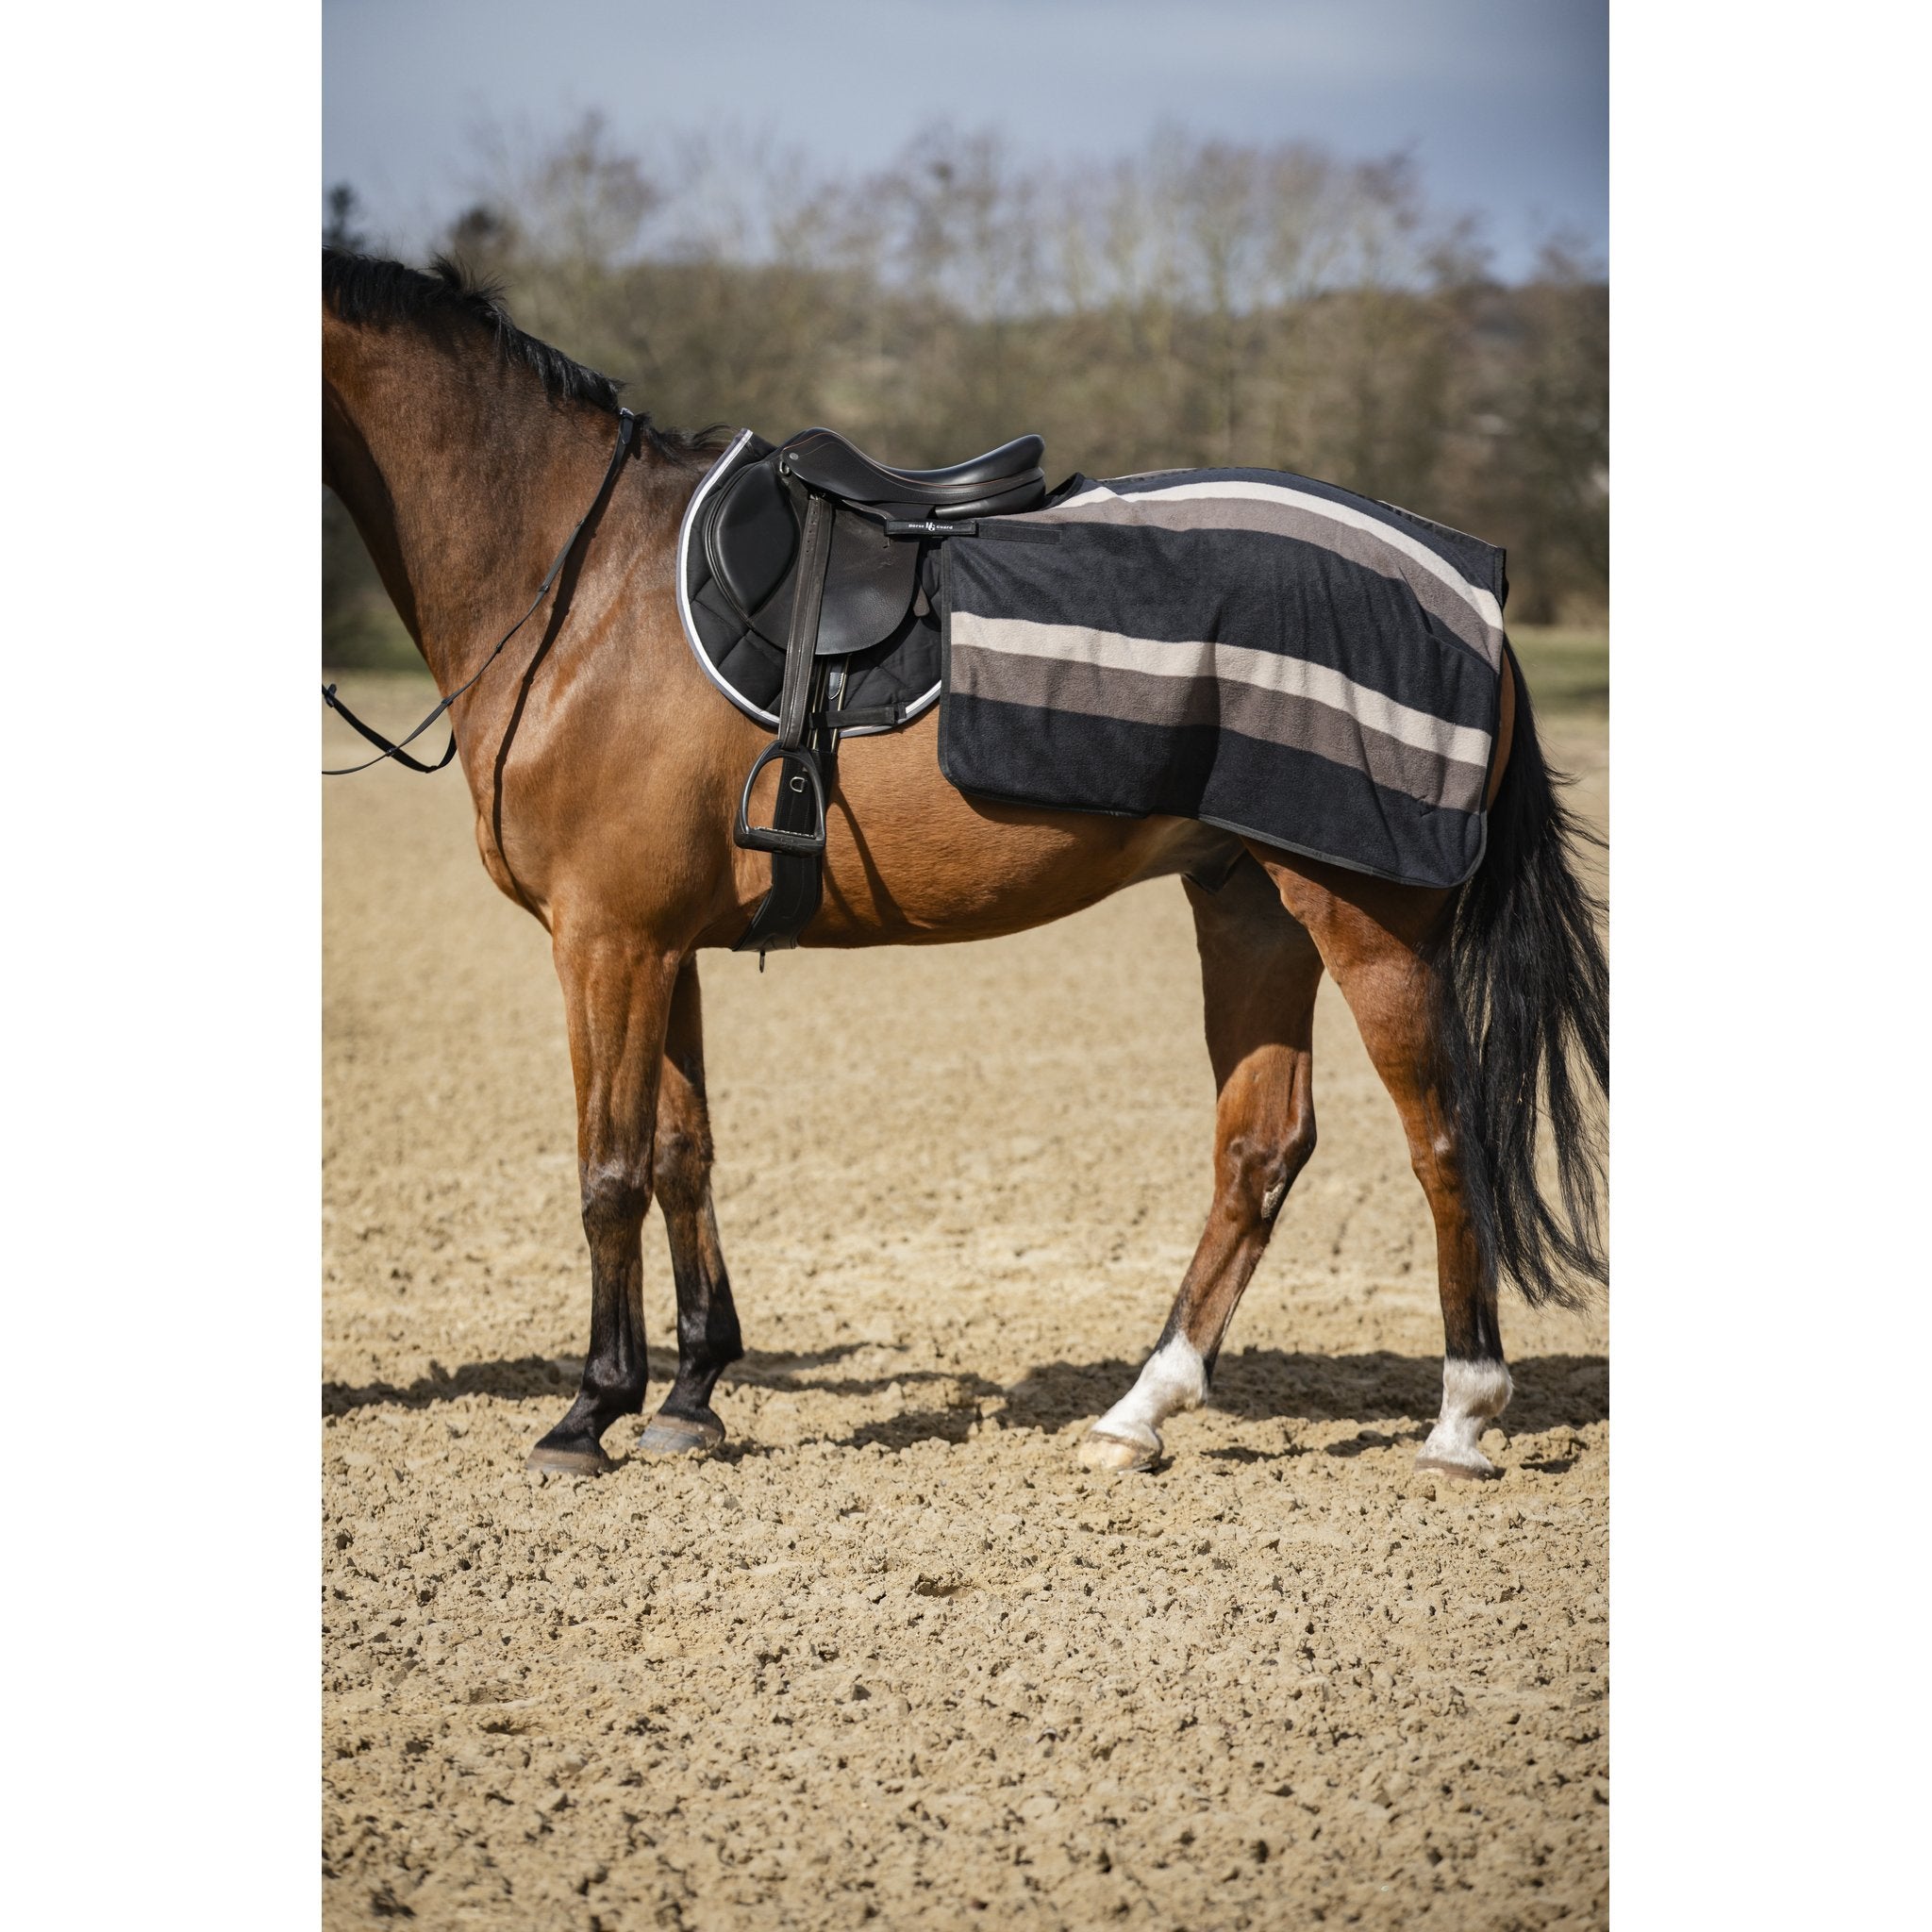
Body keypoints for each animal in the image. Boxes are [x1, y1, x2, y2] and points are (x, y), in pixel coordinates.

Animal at [321, 249, 1608, 1483]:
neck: (584, 585)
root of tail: (1467, 591)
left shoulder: (607, 938)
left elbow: (610, 1169)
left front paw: (589, 1410)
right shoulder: (659, 943)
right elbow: (683, 1154)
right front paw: (688, 1397)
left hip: (1366, 920)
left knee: (1441, 1142)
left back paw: (1459, 1416)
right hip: (1253, 905)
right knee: (1260, 1149)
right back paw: (1138, 1411)